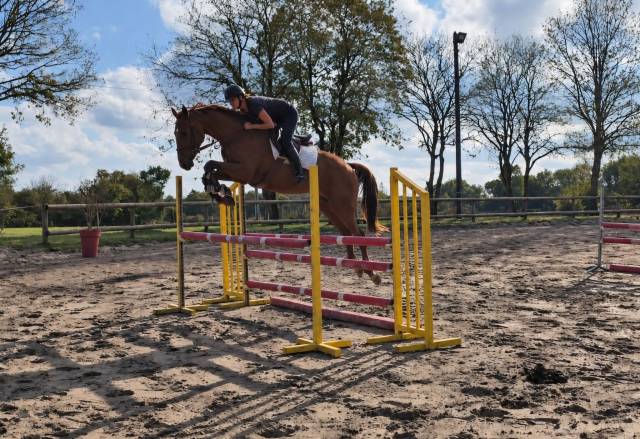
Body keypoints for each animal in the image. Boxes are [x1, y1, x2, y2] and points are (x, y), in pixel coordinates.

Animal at [171, 104, 387, 285]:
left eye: (184, 132)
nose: (184, 164)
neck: (237, 134)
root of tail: (349, 166)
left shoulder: (245, 171)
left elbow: (210, 165)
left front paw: (221, 193)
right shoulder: (236, 172)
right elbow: (210, 169)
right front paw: (221, 193)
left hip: (342, 204)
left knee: (358, 234)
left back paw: (372, 273)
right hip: (328, 206)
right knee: (346, 233)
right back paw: (356, 268)